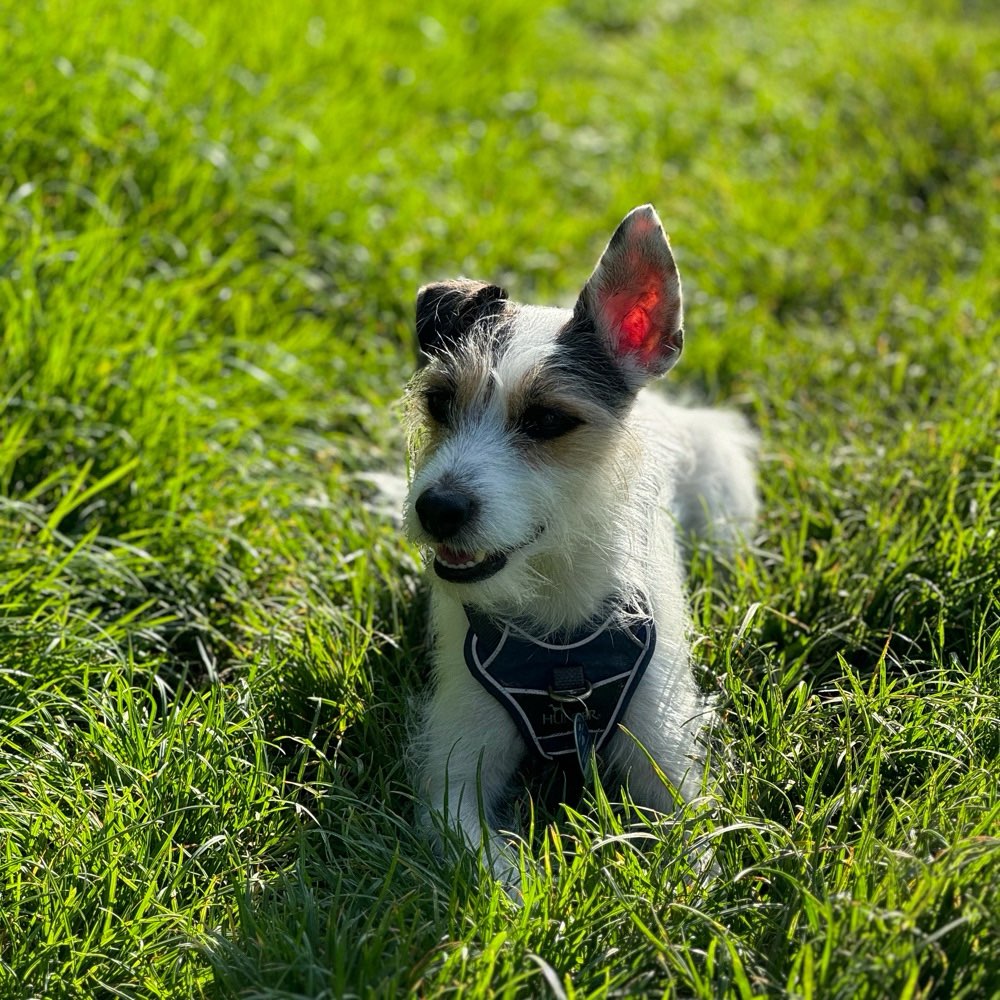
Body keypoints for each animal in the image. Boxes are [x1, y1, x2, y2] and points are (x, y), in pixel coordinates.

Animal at [402, 205, 752, 884]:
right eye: (438, 402)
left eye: (546, 420)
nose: (436, 509)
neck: (557, 629)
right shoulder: (454, 772)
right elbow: (489, 862)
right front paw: (534, 896)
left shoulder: (666, 749)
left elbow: (696, 844)